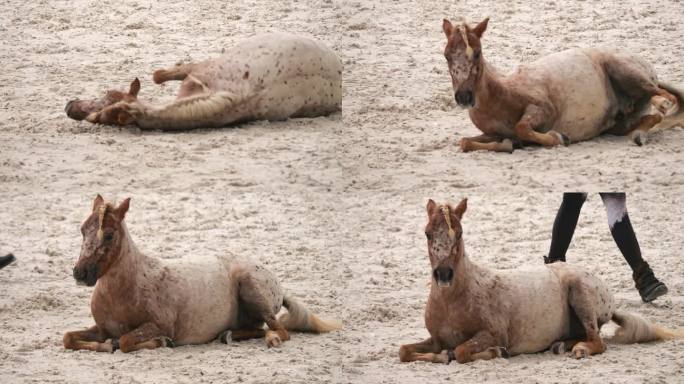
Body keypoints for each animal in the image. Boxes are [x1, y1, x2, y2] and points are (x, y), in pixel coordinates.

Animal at [62, 195, 340, 354]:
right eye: (82, 229)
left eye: (108, 235)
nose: (79, 273)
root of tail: (277, 286)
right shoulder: (101, 328)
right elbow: (68, 338)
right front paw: (105, 345)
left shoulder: (159, 324)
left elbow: (128, 341)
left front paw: (161, 342)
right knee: (255, 329)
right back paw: (227, 335)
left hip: (252, 289)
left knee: (279, 330)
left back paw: (270, 339)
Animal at [398, 200, 680, 364]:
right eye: (427, 233)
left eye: (460, 233)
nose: (444, 275)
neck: (453, 299)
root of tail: (609, 299)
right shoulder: (435, 338)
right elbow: (404, 351)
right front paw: (439, 355)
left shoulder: (493, 333)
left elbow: (462, 352)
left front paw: (496, 352)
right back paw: (561, 346)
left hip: (580, 294)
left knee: (597, 341)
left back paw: (579, 350)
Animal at [444, 17, 684, 153]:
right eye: (446, 55)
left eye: (477, 53)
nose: (464, 97)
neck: (499, 94)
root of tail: (647, 66)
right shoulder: (491, 133)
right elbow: (466, 142)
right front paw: (510, 144)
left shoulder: (543, 109)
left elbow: (523, 128)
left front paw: (559, 137)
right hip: (619, 123)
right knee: (652, 118)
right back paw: (639, 133)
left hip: (627, 72)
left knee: (664, 100)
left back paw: (652, 118)